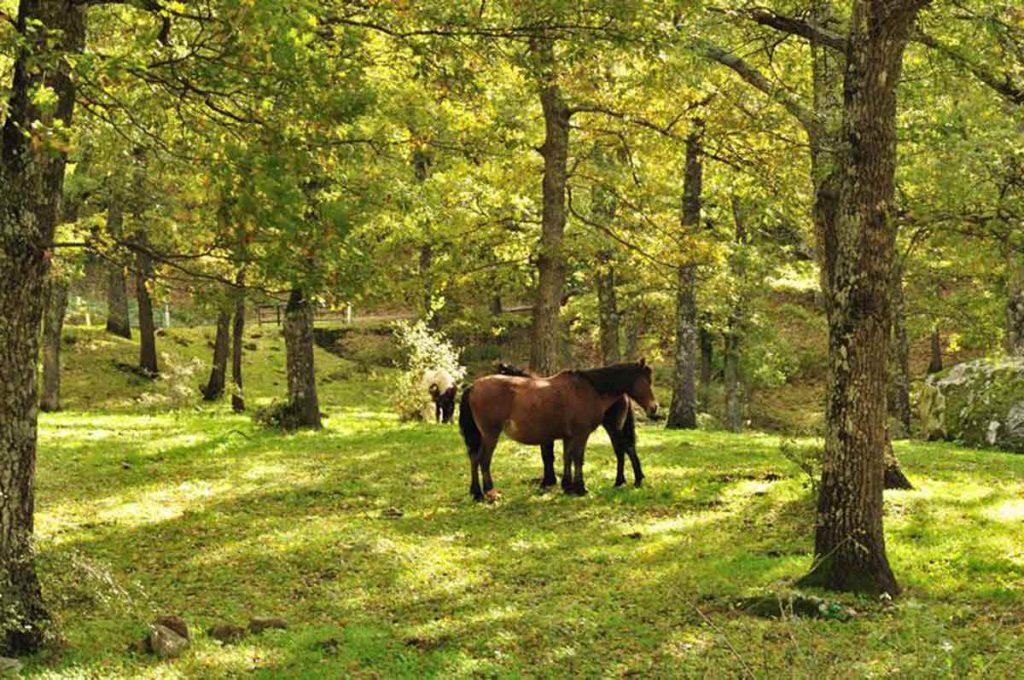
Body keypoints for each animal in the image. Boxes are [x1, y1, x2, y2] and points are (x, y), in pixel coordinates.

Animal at [460, 360, 659, 499]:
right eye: (646, 381)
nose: (654, 407)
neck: (589, 389)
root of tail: (473, 386)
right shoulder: (580, 434)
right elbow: (577, 459)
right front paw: (581, 488)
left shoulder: (568, 436)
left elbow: (567, 458)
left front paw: (568, 487)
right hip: (490, 434)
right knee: (483, 460)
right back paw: (489, 492)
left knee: (474, 458)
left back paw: (477, 493)